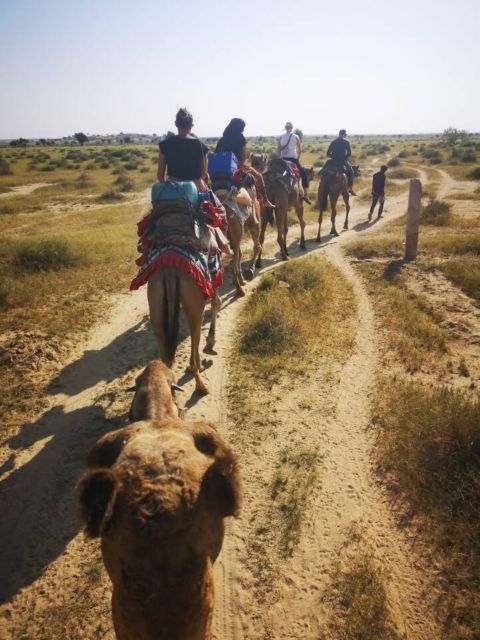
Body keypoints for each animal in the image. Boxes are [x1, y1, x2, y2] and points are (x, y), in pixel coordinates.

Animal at [147, 266, 220, 396]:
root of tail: (169, 271)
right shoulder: (213, 282)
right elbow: (215, 303)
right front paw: (210, 344)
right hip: (194, 307)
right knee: (194, 338)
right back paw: (201, 387)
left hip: (156, 307)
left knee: (165, 357)